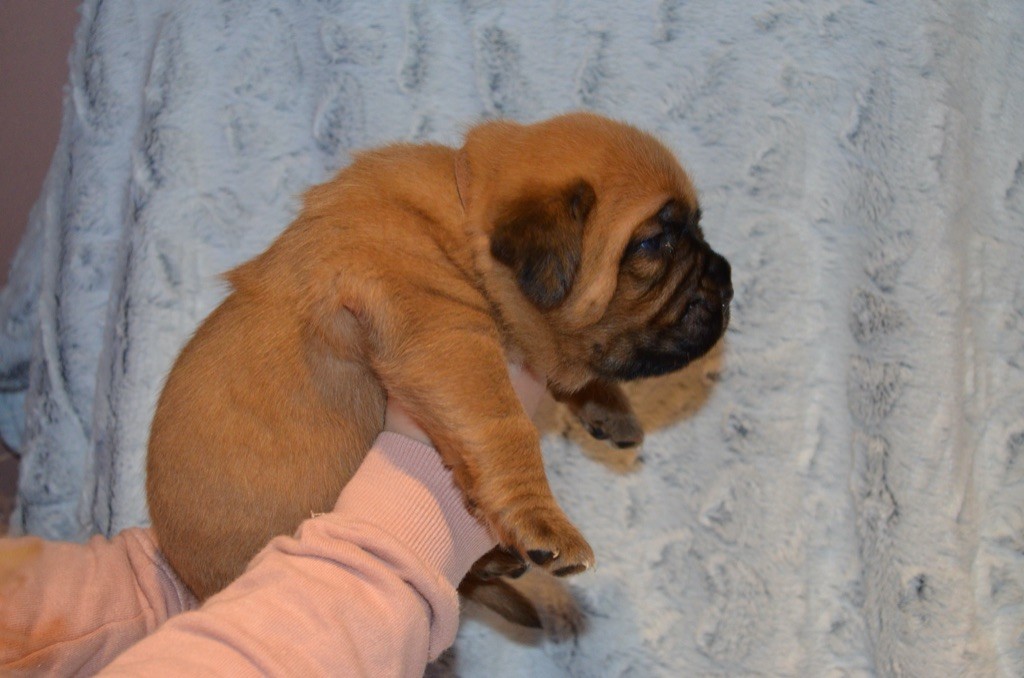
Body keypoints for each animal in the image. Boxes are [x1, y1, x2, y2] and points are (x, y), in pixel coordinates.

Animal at [146, 112, 732, 626]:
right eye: (655, 242)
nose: (727, 278)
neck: (463, 215)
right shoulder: (449, 343)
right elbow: (508, 431)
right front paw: (544, 523)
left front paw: (610, 407)